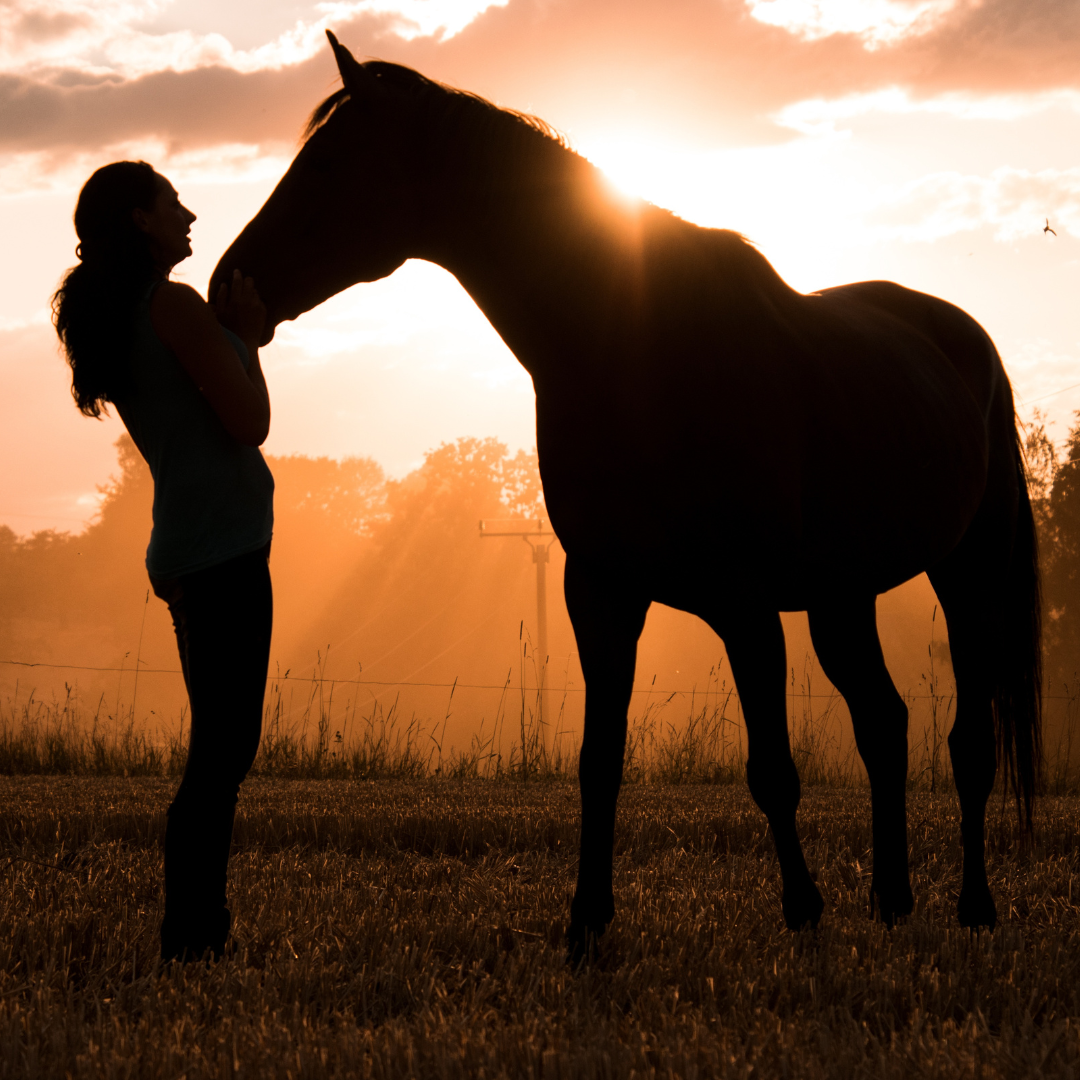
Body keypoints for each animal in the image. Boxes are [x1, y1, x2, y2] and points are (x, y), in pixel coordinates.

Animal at [210, 33, 1036, 959]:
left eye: (330, 164)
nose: (227, 283)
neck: (638, 349)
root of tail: (965, 341)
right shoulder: (600, 591)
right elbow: (598, 764)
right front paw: (586, 924)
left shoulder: (744, 605)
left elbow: (772, 770)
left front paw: (801, 910)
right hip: (841, 597)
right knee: (885, 725)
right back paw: (891, 898)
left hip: (969, 578)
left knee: (968, 742)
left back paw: (974, 905)